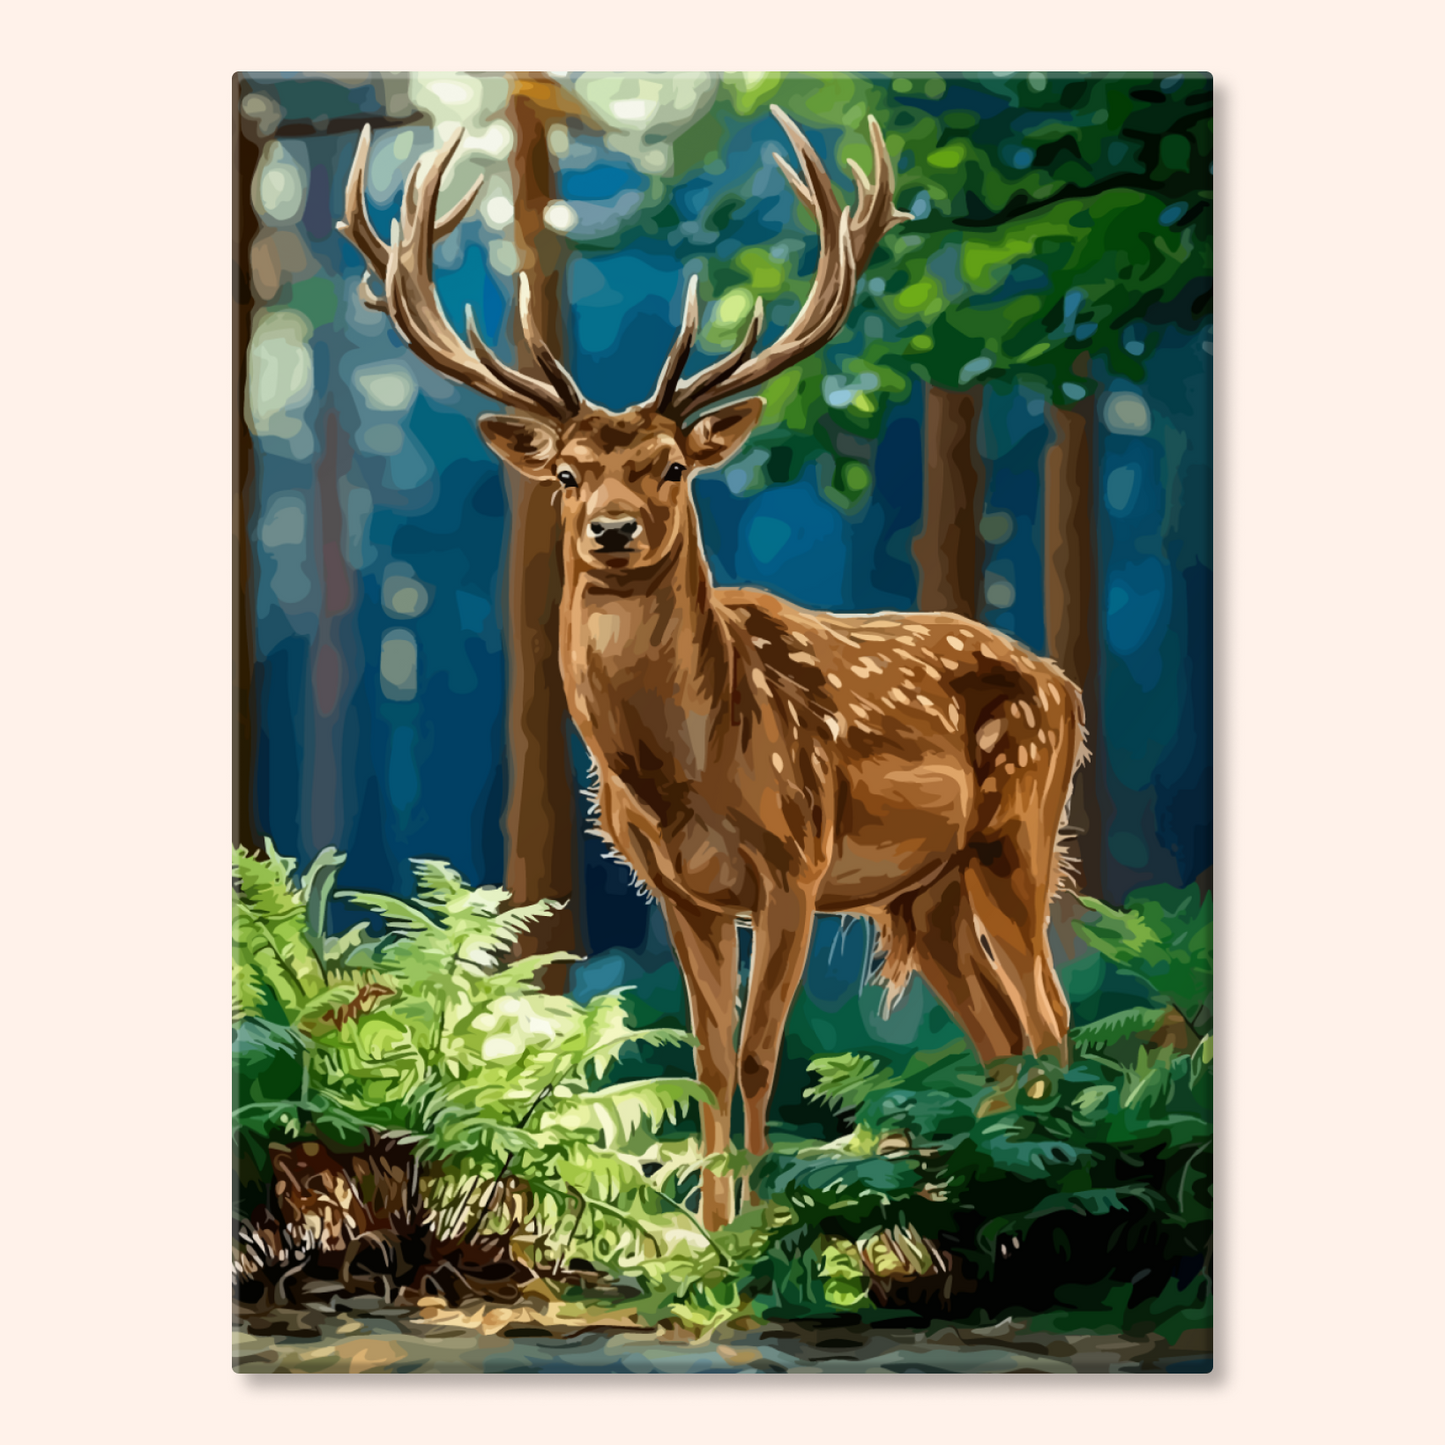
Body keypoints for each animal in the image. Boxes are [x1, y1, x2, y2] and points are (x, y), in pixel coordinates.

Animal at [340, 106, 1087, 1231]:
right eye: (568, 473)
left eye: (670, 467)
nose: (610, 530)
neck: (684, 767)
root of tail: (1065, 682)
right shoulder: (677, 890)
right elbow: (705, 1056)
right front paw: (708, 1228)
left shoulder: (793, 863)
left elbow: (763, 1051)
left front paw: (763, 1229)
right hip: (926, 890)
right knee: (1002, 1034)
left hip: (1015, 830)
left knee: (1052, 1014)